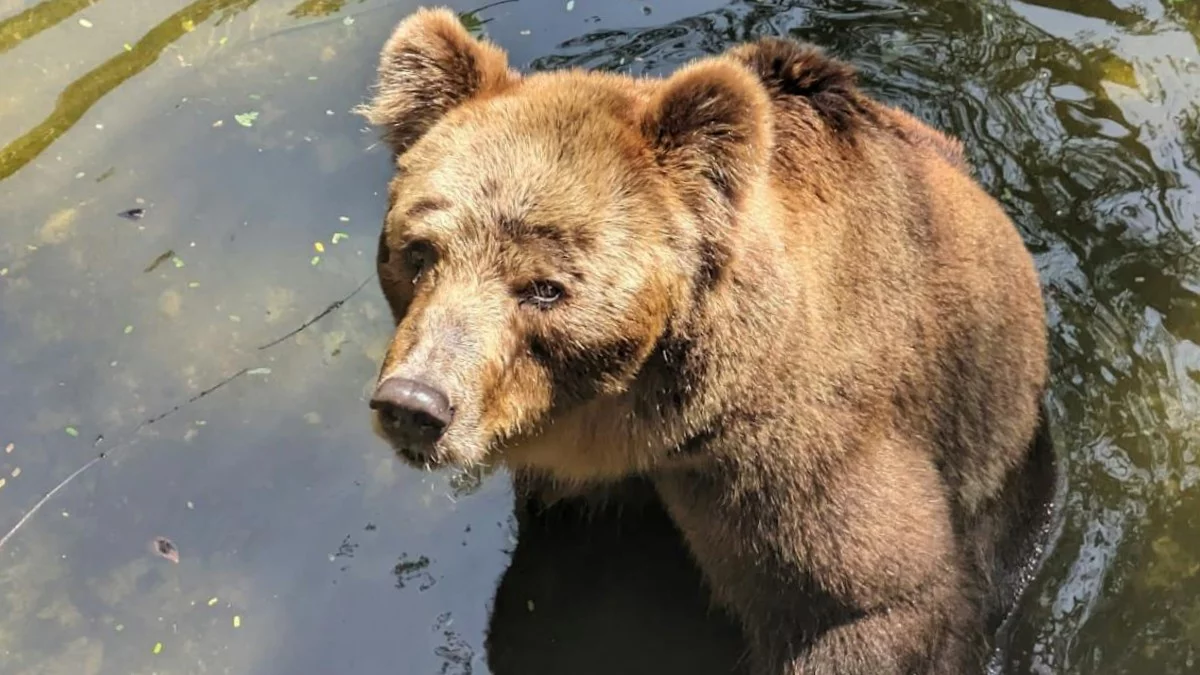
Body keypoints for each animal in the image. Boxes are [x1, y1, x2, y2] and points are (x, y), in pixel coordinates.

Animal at [357, 7, 1060, 667]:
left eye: (544, 287)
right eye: (419, 252)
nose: (415, 403)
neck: (645, 419)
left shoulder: (793, 460)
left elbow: (871, 602)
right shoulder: (578, 495)